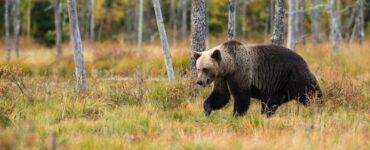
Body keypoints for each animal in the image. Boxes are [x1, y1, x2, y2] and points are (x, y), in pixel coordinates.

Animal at [192, 40, 322, 116]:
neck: (229, 67)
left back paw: (318, 105)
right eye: (198, 68)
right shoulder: (222, 79)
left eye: (205, 69)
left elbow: (241, 97)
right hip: (277, 88)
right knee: (270, 103)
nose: (199, 81)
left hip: (293, 76)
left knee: (310, 92)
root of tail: (303, 59)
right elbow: (221, 96)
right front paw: (207, 109)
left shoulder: (241, 73)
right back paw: (266, 114)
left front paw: (236, 115)